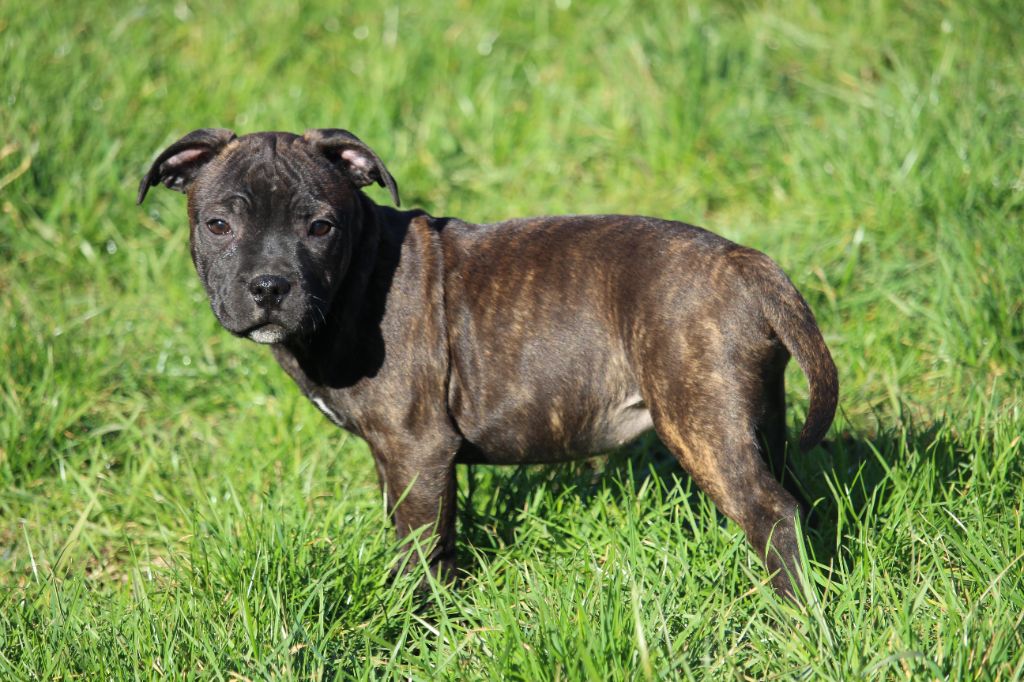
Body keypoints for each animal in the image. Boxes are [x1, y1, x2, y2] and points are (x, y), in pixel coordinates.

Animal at [138, 127, 839, 593]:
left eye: (321, 227)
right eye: (219, 225)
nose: (269, 286)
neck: (358, 275)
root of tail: (747, 263)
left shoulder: (416, 449)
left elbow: (419, 551)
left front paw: (412, 625)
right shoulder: (404, 460)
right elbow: (432, 538)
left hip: (700, 421)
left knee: (770, 513)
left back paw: (792, 614)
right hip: (753, 419)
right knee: (797, 499)